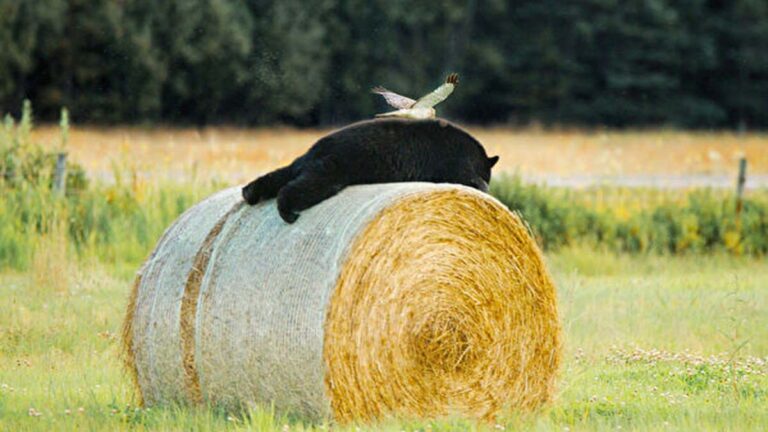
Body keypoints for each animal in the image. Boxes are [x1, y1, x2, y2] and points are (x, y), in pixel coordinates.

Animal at [242, 118, 499, 223]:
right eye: (489, 175)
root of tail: (311, 152)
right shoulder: (453, 160)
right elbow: (467, 178)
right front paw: (484, 188)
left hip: (311, 164)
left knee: (275, 177)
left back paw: (249, 192)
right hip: (334, 166)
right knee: (305, 186)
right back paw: (288, 212)